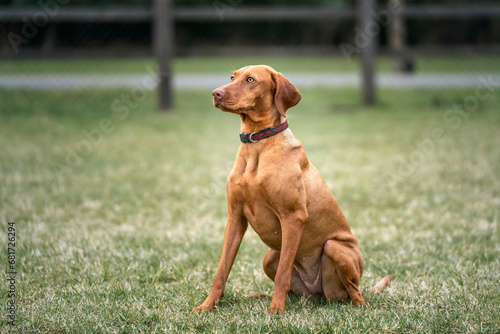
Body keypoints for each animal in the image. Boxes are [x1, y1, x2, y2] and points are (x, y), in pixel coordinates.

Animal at [191, 64, 390, 314]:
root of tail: (320, 294)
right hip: (270, 256)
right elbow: (222, 270)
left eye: (250, 80)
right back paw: (261, 296)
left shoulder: (293, 217)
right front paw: (207, 305)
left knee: (355, 292)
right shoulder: (235, 217)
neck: (257, 145)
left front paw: (276, 310)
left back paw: (359, 304)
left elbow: (283, 273)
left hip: (335, 248)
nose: (216, 93)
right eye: (232, 77)